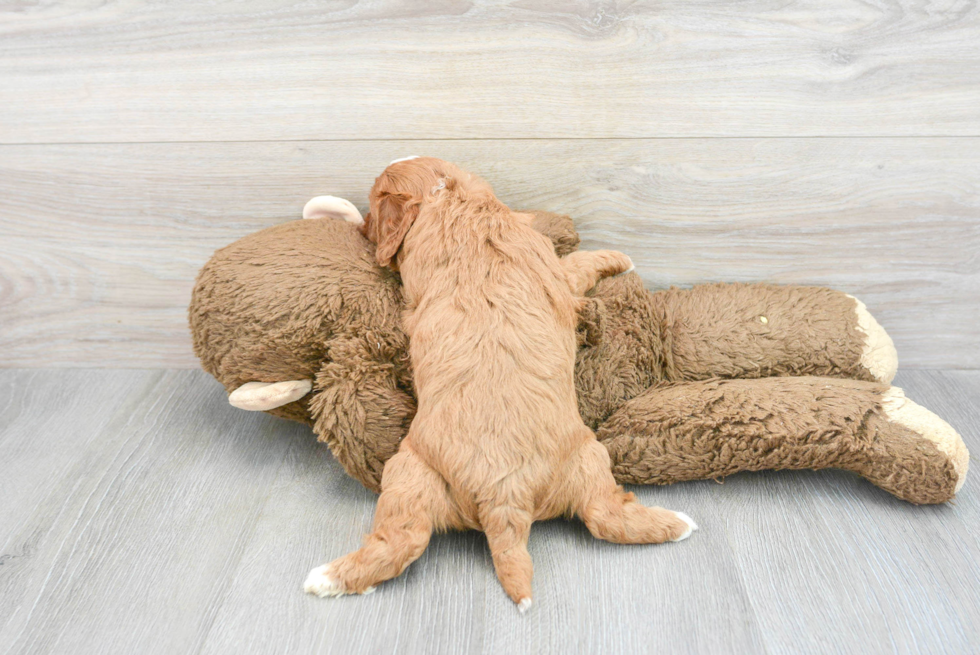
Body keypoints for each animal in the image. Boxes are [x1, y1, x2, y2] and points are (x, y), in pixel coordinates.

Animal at [302, 158, 692, 608]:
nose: (362, 228)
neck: (452, 200)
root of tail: (505, 499)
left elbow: (578, 263)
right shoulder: (556, 269)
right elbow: (579, 263)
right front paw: (619, 256)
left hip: (421, 474)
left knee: (410, 537)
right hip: (560, 459)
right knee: (601, 515)